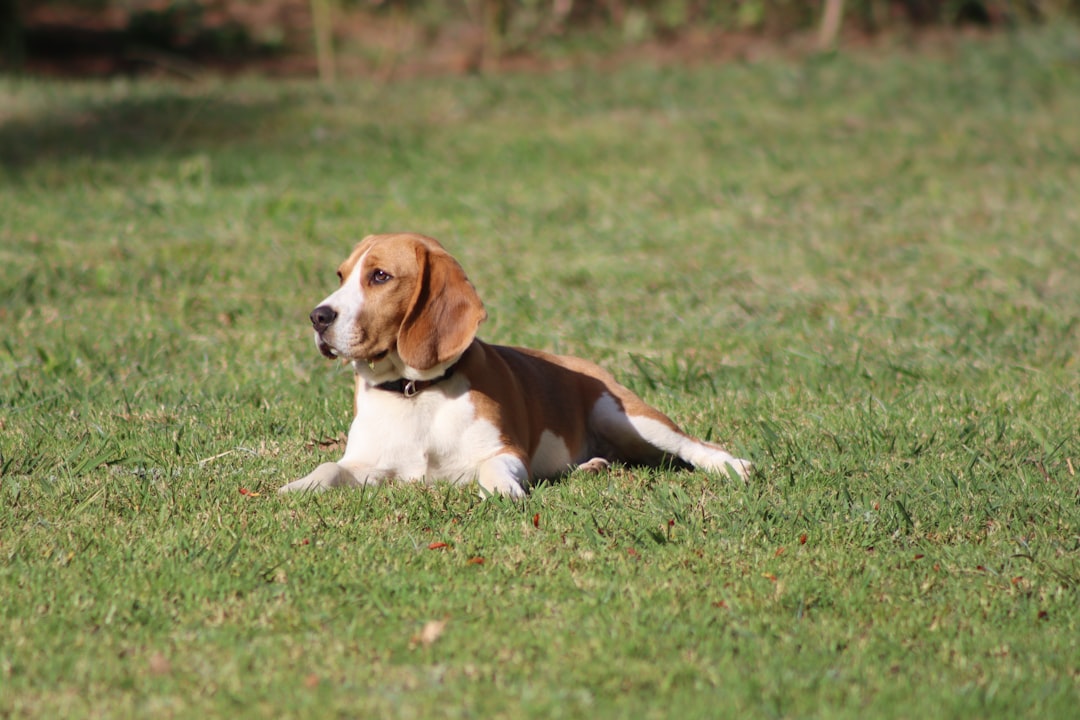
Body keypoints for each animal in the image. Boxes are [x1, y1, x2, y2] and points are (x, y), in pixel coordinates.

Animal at [278, 234, 751, 498]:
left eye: (379, 276)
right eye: (341, 276)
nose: (318, 317)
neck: (415, 394)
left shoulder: (505, 450)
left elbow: (494, 466)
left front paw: (503, 490)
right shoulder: (368, 464)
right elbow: (329, 468)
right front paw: (296, 487)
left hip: (626, 416)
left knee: (693, 446)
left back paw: (732, 466)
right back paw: (591, 466)